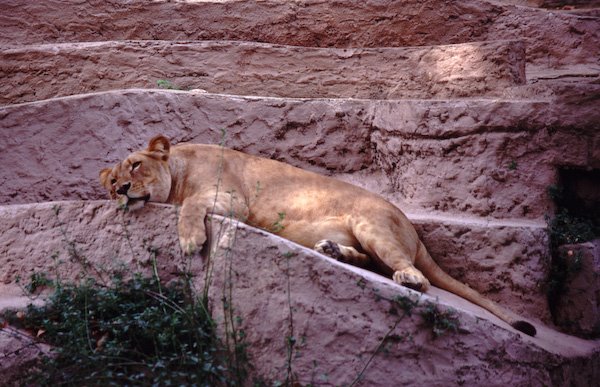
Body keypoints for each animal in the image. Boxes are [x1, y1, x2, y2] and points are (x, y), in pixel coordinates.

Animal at [101, 134, 536, 336]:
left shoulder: (230, 198)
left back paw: (408, 278)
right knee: (372, 262)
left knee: (409, 271)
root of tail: (412, 227)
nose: (121, 190)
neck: (178, 169)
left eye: (136, 165)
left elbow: (190, 206)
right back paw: (334, 251)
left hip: (372, 224)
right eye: (110, 182)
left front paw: (191, 240)